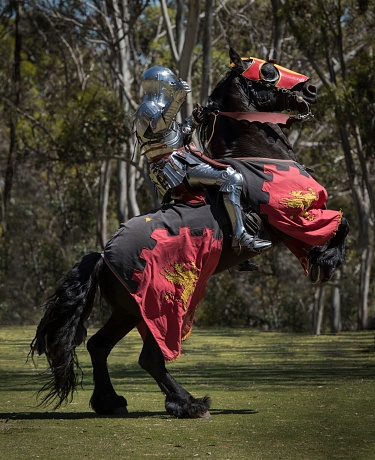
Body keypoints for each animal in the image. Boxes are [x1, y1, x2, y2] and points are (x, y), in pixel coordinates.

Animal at [30, 48, 350, 418]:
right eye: (268, 72)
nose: (311, 89)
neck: (257, 153)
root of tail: (103, 257)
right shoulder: (294, 213)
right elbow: (341, 222)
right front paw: (327, 260)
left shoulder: (294, 225)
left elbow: (331, 228)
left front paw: (319, 259)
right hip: (161, 308)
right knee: (150, 358)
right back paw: (189, 402)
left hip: (127, 311)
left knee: (99, 346)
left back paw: (110, 401)